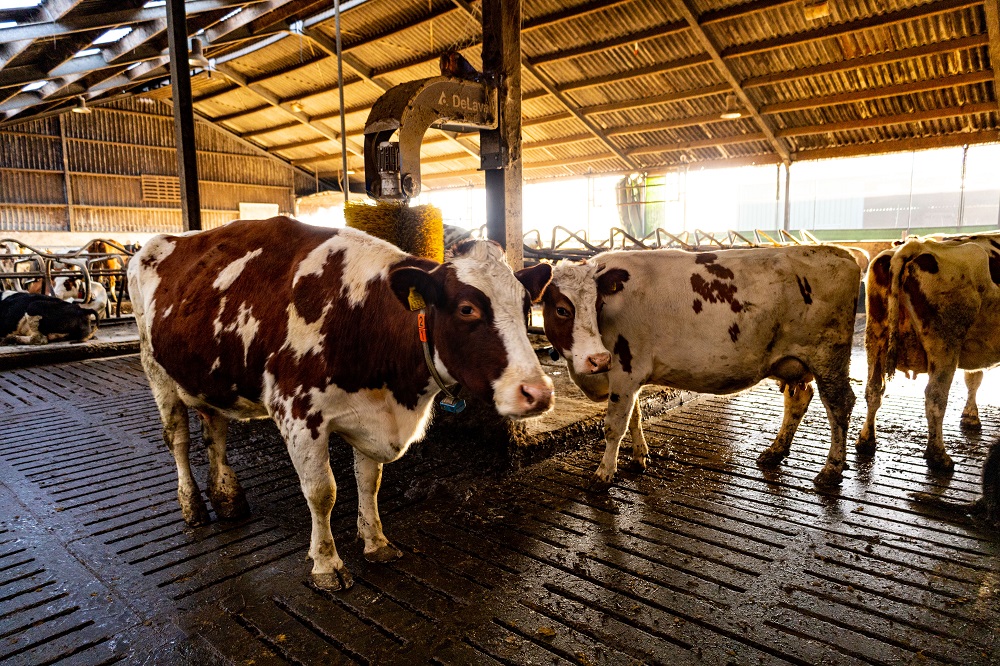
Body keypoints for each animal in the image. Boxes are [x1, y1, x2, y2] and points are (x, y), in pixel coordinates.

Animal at [128, 215, 556, 588]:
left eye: (525, 308)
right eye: (468, 309)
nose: (538, 392)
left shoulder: (372, 412)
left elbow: (369, 482)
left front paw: (376, 542)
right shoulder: (297, 413)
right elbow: (322, 492)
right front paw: (326, 564)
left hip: (206, 376)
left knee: (214, 431)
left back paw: (228, 498)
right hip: (156, 371)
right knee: (179, 441)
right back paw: (193, 508)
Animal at [536, 246, 864, 486]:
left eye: (598, 305)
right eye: (561, 309)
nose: (597, 359)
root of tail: (840, 252)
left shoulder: (624, 370)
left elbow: (615, 426)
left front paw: (604, 473)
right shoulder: (629, 377)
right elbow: (636, 417)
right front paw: (640, 457)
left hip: (828, 358)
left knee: (839, 404)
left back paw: (832, 470)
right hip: (795, 362)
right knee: (799, 399)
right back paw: (775, 452)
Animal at [856, 236, 1000, 470]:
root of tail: (915, 246)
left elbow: (973, 377)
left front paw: (970, 417)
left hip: (875, 335)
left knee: (874, 389)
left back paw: (866, 441)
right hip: (945, 343)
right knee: (935, 397)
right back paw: (938, 456)